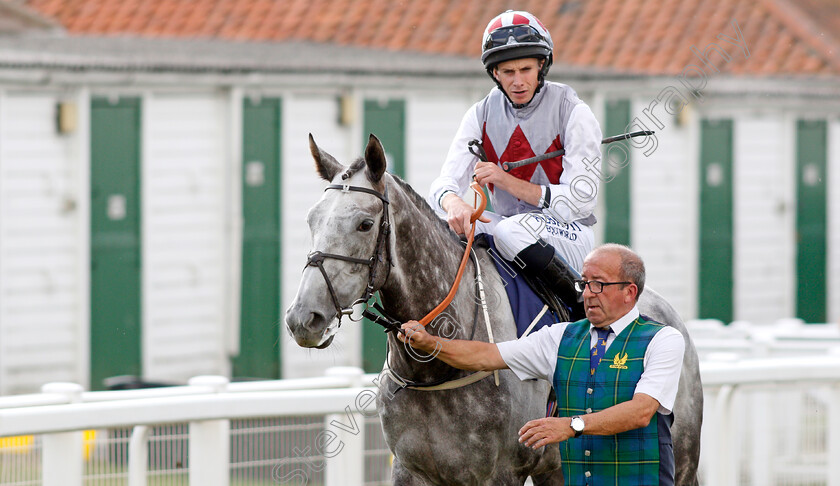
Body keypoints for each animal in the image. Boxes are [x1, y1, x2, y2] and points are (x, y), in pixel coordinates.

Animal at [284, 134, 704, 486]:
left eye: (365, 223)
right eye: (311, 219)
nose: (304, 318)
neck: (433, 372)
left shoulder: (499, 472)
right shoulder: (410, 469)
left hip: (679, 458)